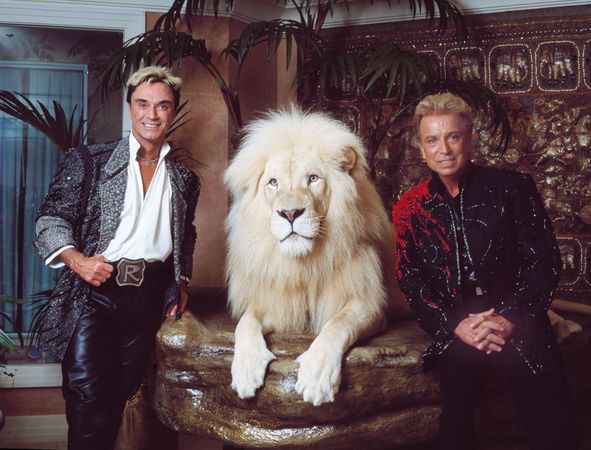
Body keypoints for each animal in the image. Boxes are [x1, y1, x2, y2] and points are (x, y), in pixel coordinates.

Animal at [224, 107, 396, 406]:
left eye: (313, 179)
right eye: (273, 183)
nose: (290, 213)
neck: (304, 264)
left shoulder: (370, 305)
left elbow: (338, 324)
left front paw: (317, 377)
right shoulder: (278, 302)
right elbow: (245, 322)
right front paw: (245, 371)